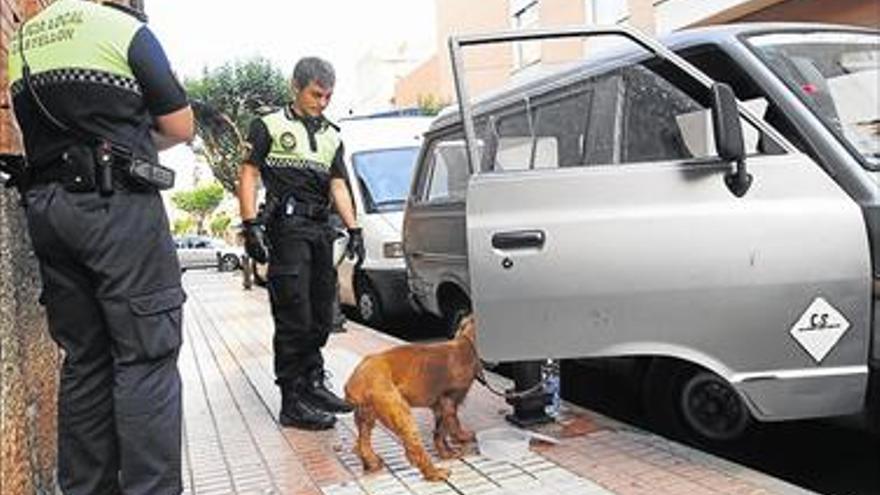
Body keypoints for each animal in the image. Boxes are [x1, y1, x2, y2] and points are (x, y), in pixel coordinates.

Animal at [346, 316, 482, 482]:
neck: (466, 343)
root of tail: (355, 380)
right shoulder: (449, 401)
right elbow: (452, 426)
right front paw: (462, 439)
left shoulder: (439, 406)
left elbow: (439, 433)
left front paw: (446, 453)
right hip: (398, 410)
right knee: (414, 449)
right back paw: (434, 473)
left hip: (366, 415)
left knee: (362, 443)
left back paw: (371, 462)